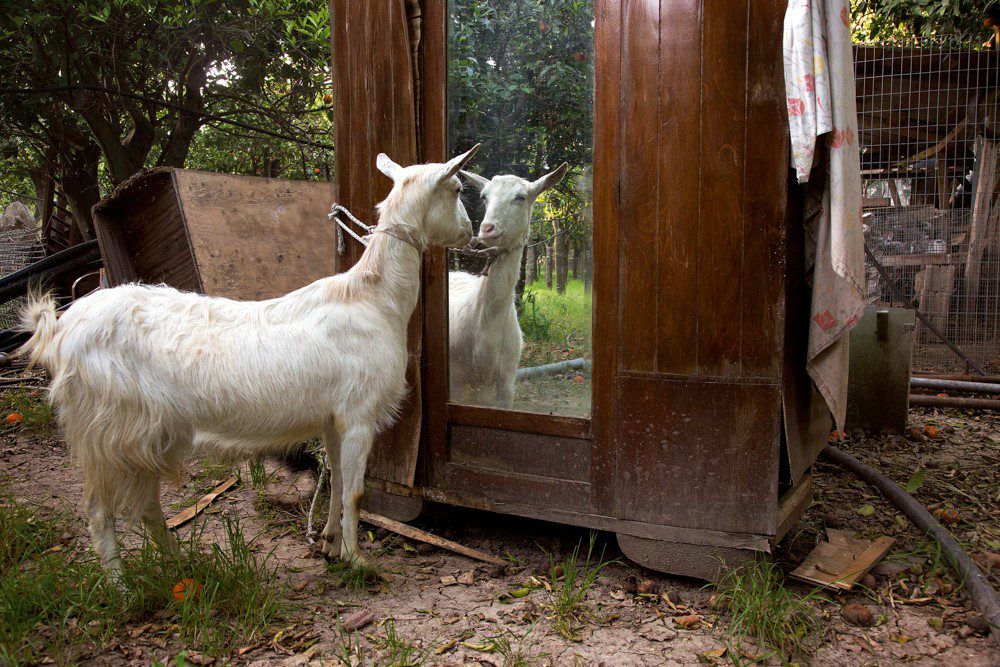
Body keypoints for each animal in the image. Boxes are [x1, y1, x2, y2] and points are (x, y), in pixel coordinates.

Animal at [17, 146, 478, 576]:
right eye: (457, 188)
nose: (471, 232)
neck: (374, 298)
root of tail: (60, 330)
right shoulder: (358, 414)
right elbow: (355, 492)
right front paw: (358, 561)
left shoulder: (333, 416)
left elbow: (336, 482)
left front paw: (329, 544)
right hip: (104, 430)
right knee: (98, 510)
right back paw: (122, 586)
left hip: (141, 433)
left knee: (146, 505)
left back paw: (177, 565)